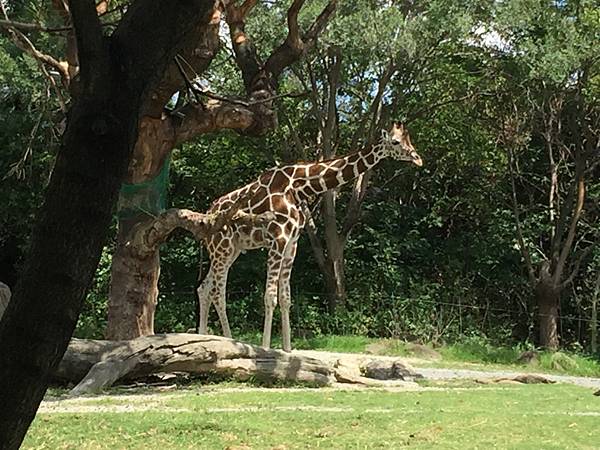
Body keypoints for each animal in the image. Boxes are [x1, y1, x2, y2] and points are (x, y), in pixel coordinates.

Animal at [197, 122, 422, 352]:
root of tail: (208, 214)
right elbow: (270, 296)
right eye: (395, 142)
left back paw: (203, 338)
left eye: (409, 139)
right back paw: (227, 341)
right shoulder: (278, 239)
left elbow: (285, 297)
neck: (300, 187)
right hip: (222, 248)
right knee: (217, 293)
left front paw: (287, 350)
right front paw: (267, 349)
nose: (417, 158)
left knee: (203, 288)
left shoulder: (291, 243)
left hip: (232, 250)